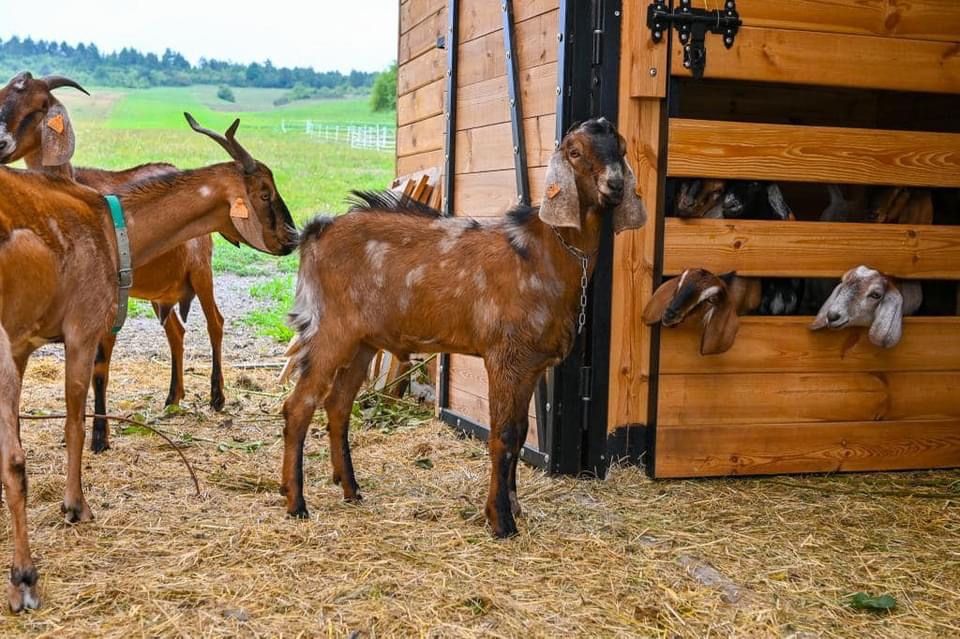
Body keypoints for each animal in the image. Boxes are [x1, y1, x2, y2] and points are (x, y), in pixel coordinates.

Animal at [282, 117, 648, 536]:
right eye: (574, 151)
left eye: (621, 148)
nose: (615, 185)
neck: (544, 253)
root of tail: (315, 232)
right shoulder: (505, 356)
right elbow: (503, 436)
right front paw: (501, 519)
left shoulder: (531, 365)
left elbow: (519, 433)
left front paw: (515, 505)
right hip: (330, 330)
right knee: (298, 406)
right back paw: (296, 502)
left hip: (362, 342)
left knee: (338, 405)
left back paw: (351, 490)